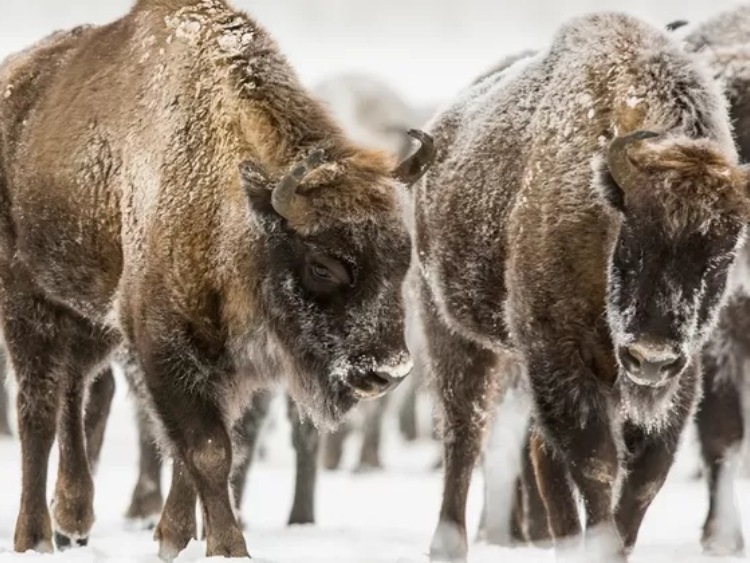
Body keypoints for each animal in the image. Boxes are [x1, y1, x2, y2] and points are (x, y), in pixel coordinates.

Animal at [0, 0, 432, 560]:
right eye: (322, 265)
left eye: (403, 259)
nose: (388, 371)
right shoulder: (166, 345)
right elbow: (208, 450)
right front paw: (228, 546)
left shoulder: (223, 364)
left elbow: (202, 449)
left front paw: (173, 536)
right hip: (26, 302)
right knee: (38, 410)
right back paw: (34, 536)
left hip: (89, 316)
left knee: (76, 391)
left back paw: (74, 517)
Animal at [414, 9, 750, 563]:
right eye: (630, 247)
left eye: (721, 257)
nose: (650, 357)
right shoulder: (558, 356)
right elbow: (596, 465)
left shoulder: (682, 375)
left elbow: (644, 477)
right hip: (454, 333)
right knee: (464, 434)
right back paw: (448, 544)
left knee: (535, 452)